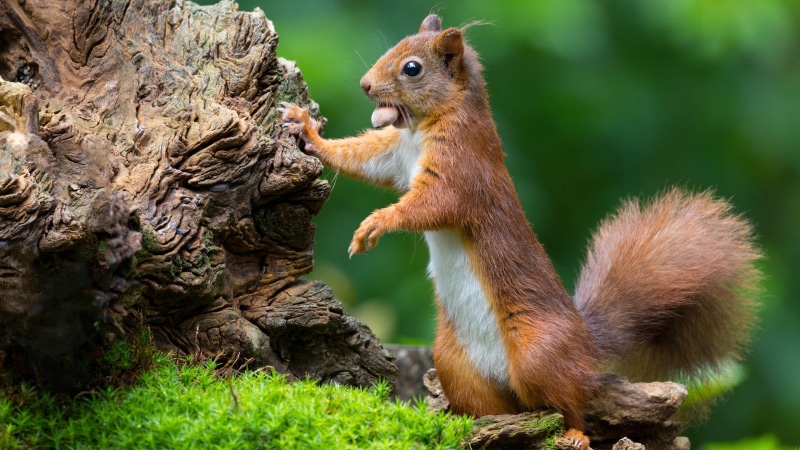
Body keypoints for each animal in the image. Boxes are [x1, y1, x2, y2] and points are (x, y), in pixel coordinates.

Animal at [280, 14, 761, 449]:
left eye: (412, 68)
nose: (364, 85)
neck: (427, 126)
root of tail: (585, 342)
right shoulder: (396, 156)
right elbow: (363, 159)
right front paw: (307, 131)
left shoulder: (462, 171)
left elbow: (432, 205)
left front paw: (373, 225)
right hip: (455, 362)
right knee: (502, 407)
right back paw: (469, 426)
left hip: (537, 352)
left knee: (571, 403)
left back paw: (574, 434)